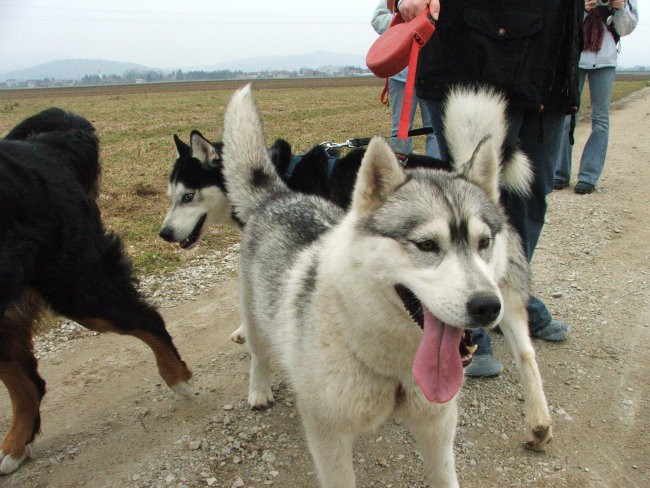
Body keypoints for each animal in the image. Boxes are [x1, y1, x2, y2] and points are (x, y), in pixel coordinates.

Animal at [0, 108, 192, 474]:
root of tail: (45, 145)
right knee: (28, 384)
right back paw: (14, 447)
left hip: (77, 283)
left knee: (147, 319)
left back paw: (179, 378)